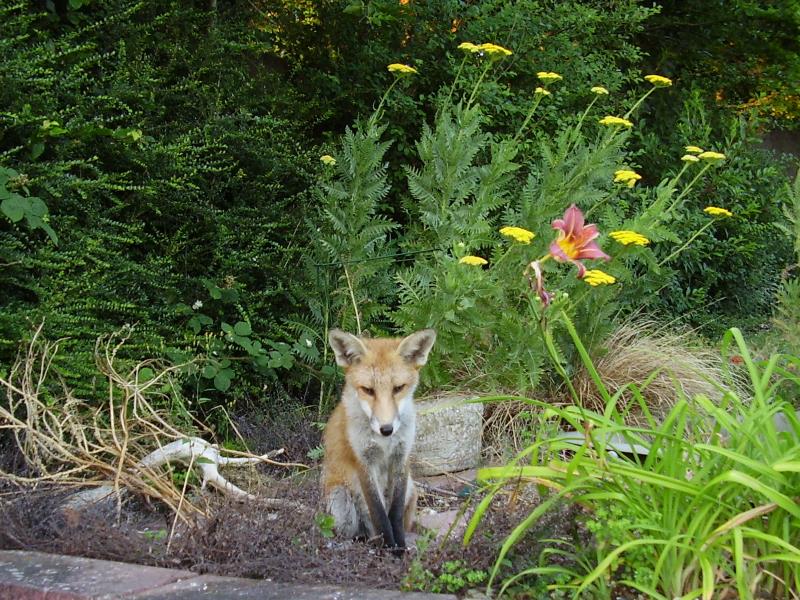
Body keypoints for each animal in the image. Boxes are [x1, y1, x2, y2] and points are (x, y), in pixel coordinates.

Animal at [320, 328, 438, 552]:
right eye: (368, 390)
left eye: (398, 388)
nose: (386, 429)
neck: (384, 444)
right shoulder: (363, 462)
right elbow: (379, 513)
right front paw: (390, 548)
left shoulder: (401, 457)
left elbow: (395, 512)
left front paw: (399, 547)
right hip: (341, 503)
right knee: (357, 529)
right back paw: (367, 541)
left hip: (411, 488)